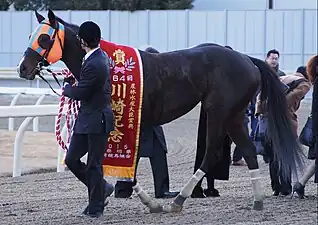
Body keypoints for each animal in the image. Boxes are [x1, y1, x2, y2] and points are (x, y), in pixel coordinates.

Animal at [16, 9, 304, 214]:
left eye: (43, 37)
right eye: (29, 36)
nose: (22, 68)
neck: (111, 63)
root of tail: (247, 60)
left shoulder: (122, 125)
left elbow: (119, 167)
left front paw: (139, 200)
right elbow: (90, 164)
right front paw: (117, 196)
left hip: (218, 111)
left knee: (211, 153)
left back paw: (179, 200)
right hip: (234, 115)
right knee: (248, 151)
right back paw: (257, 201)